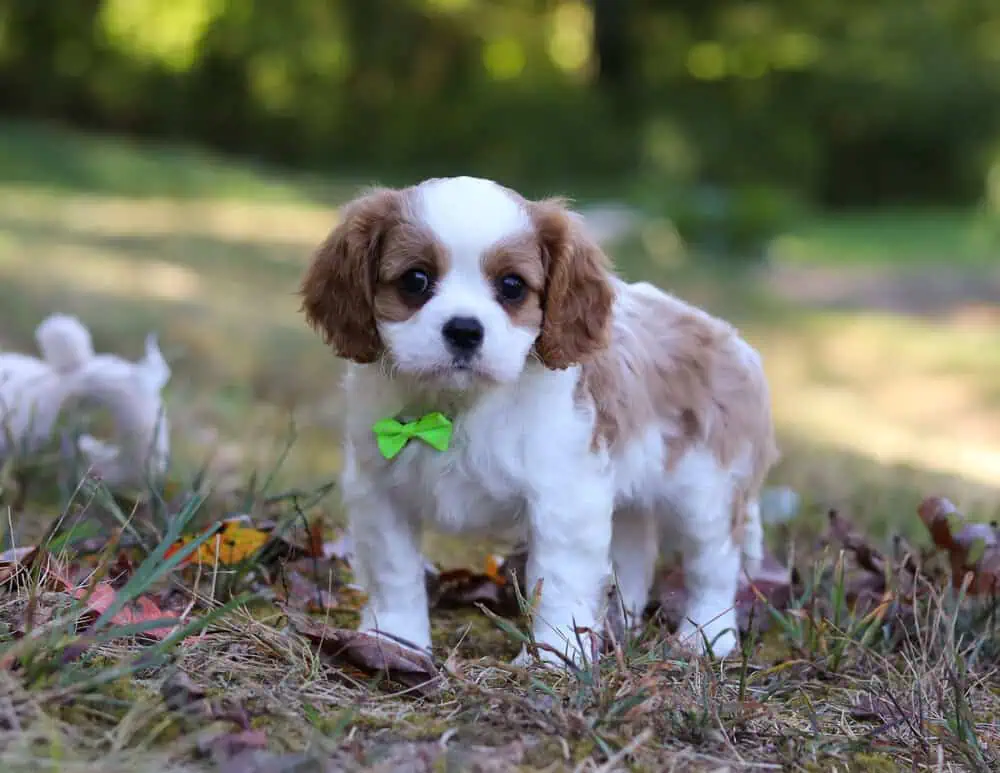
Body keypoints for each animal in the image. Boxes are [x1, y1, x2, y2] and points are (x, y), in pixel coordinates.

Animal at [300, 177, 778, 665]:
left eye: (512, 286)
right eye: (415, 280)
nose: (464, 330)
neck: (460, 406)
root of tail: (731, 340)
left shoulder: (565, 497)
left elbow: (559, 579)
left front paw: (555, 655)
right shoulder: (381, 492)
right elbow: (394, 571)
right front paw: (394, 641)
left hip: (708, 493)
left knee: (714, 565)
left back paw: (706, 637)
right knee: (635, 552)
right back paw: (619, 624)